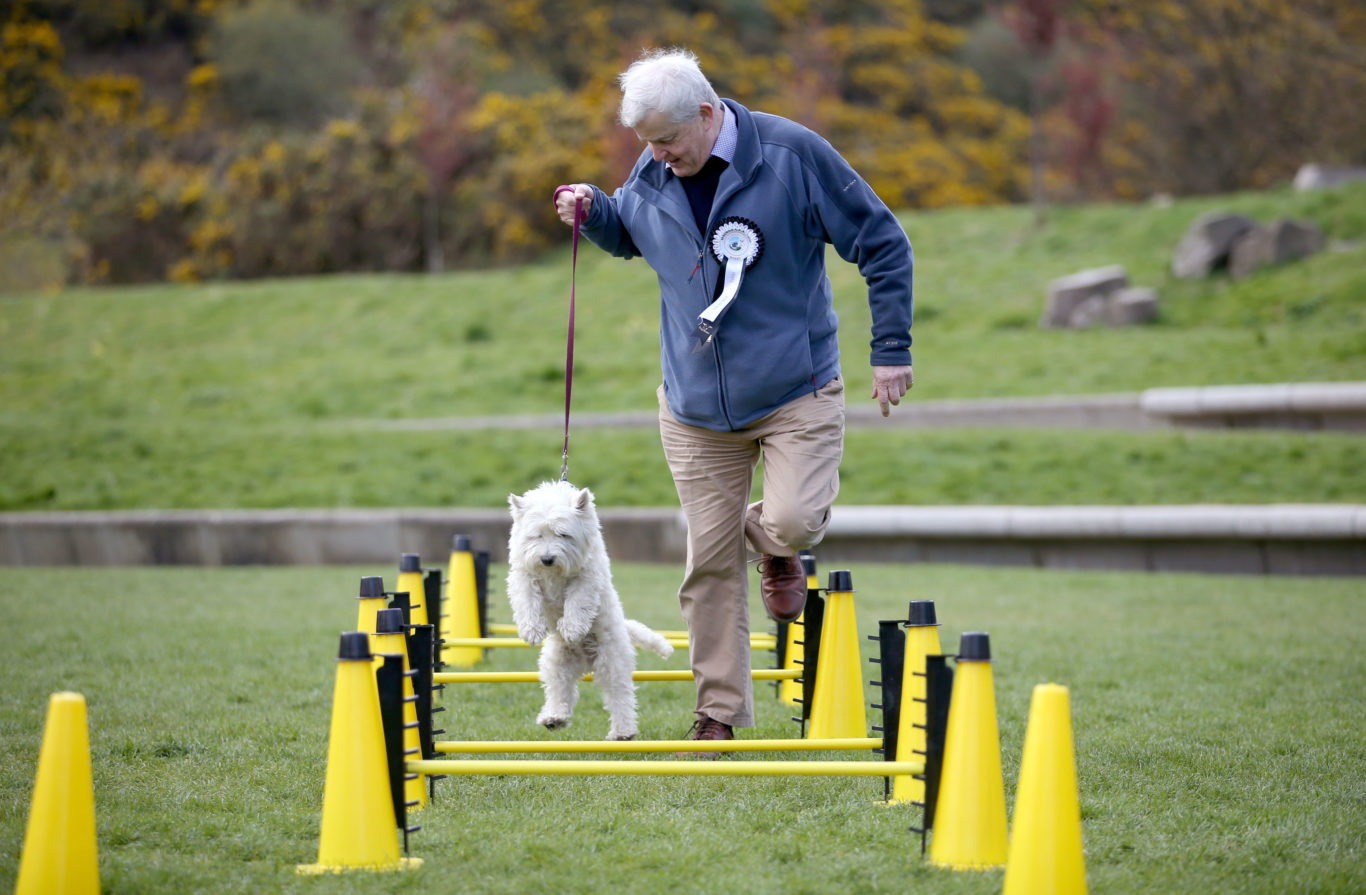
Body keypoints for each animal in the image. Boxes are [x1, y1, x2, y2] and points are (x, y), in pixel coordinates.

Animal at [505, 483, 674, 743]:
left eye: (563, 534)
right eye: (537, 535)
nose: (547, 558)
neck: (554, 573)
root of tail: (585, 663)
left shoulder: (588, 577)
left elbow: (578, 601)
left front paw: (572, 628)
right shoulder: (524, 575)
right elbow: (527, 599)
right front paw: (531, 630)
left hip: (612, 660)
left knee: (620, 696)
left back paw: (623, 732)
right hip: (556, 663)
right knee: (560, 691)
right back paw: (553, 718)